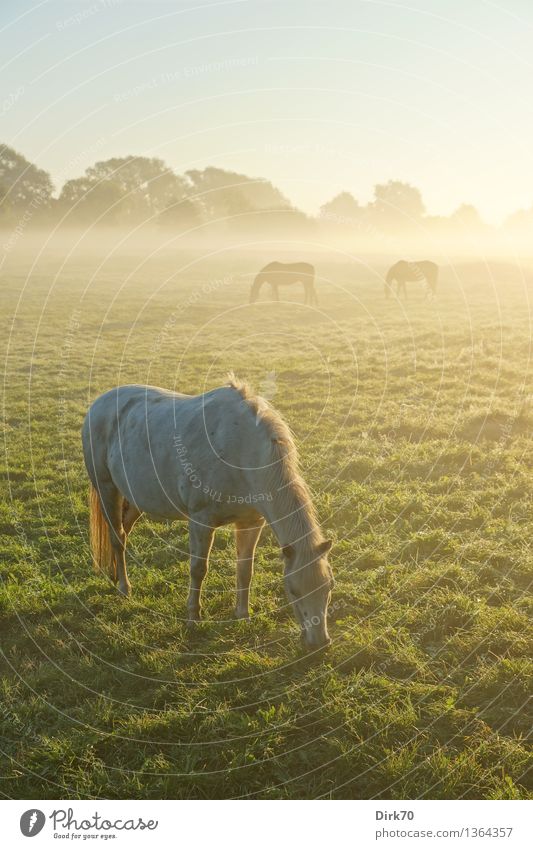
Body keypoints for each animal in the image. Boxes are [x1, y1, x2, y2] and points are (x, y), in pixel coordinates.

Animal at [81, 376, 332, 648]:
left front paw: (242, 615)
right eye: (293, 590)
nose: (319, 642)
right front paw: (193, 618)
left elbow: (245, 570)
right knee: (117, 537)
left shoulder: (251, 522)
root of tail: (98, 403)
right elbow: (198, 569)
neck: (241, 449)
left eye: (329, 587)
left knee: (122, 532)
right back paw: (124, 588)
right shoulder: (201, 521)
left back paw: (114, 574)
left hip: (138, 498)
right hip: (107, 488)